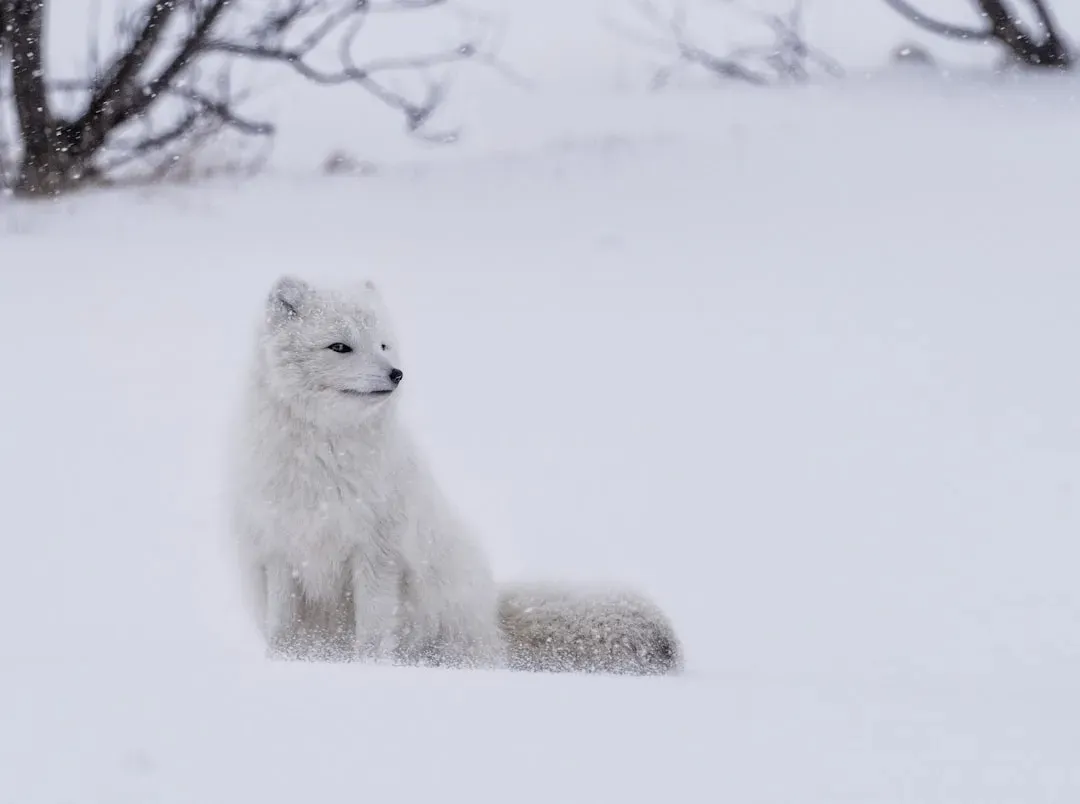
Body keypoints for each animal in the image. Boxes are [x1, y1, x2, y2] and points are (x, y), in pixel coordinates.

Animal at [228, 275, 682, 675]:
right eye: (340, 347)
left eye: (383, 344)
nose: (396, 374)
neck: (323, 458)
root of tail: (493, 619)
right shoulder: (281, 551)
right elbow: (282, 629)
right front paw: (284, 665)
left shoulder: (377, 553)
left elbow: (372, 632)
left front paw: (369, 671)